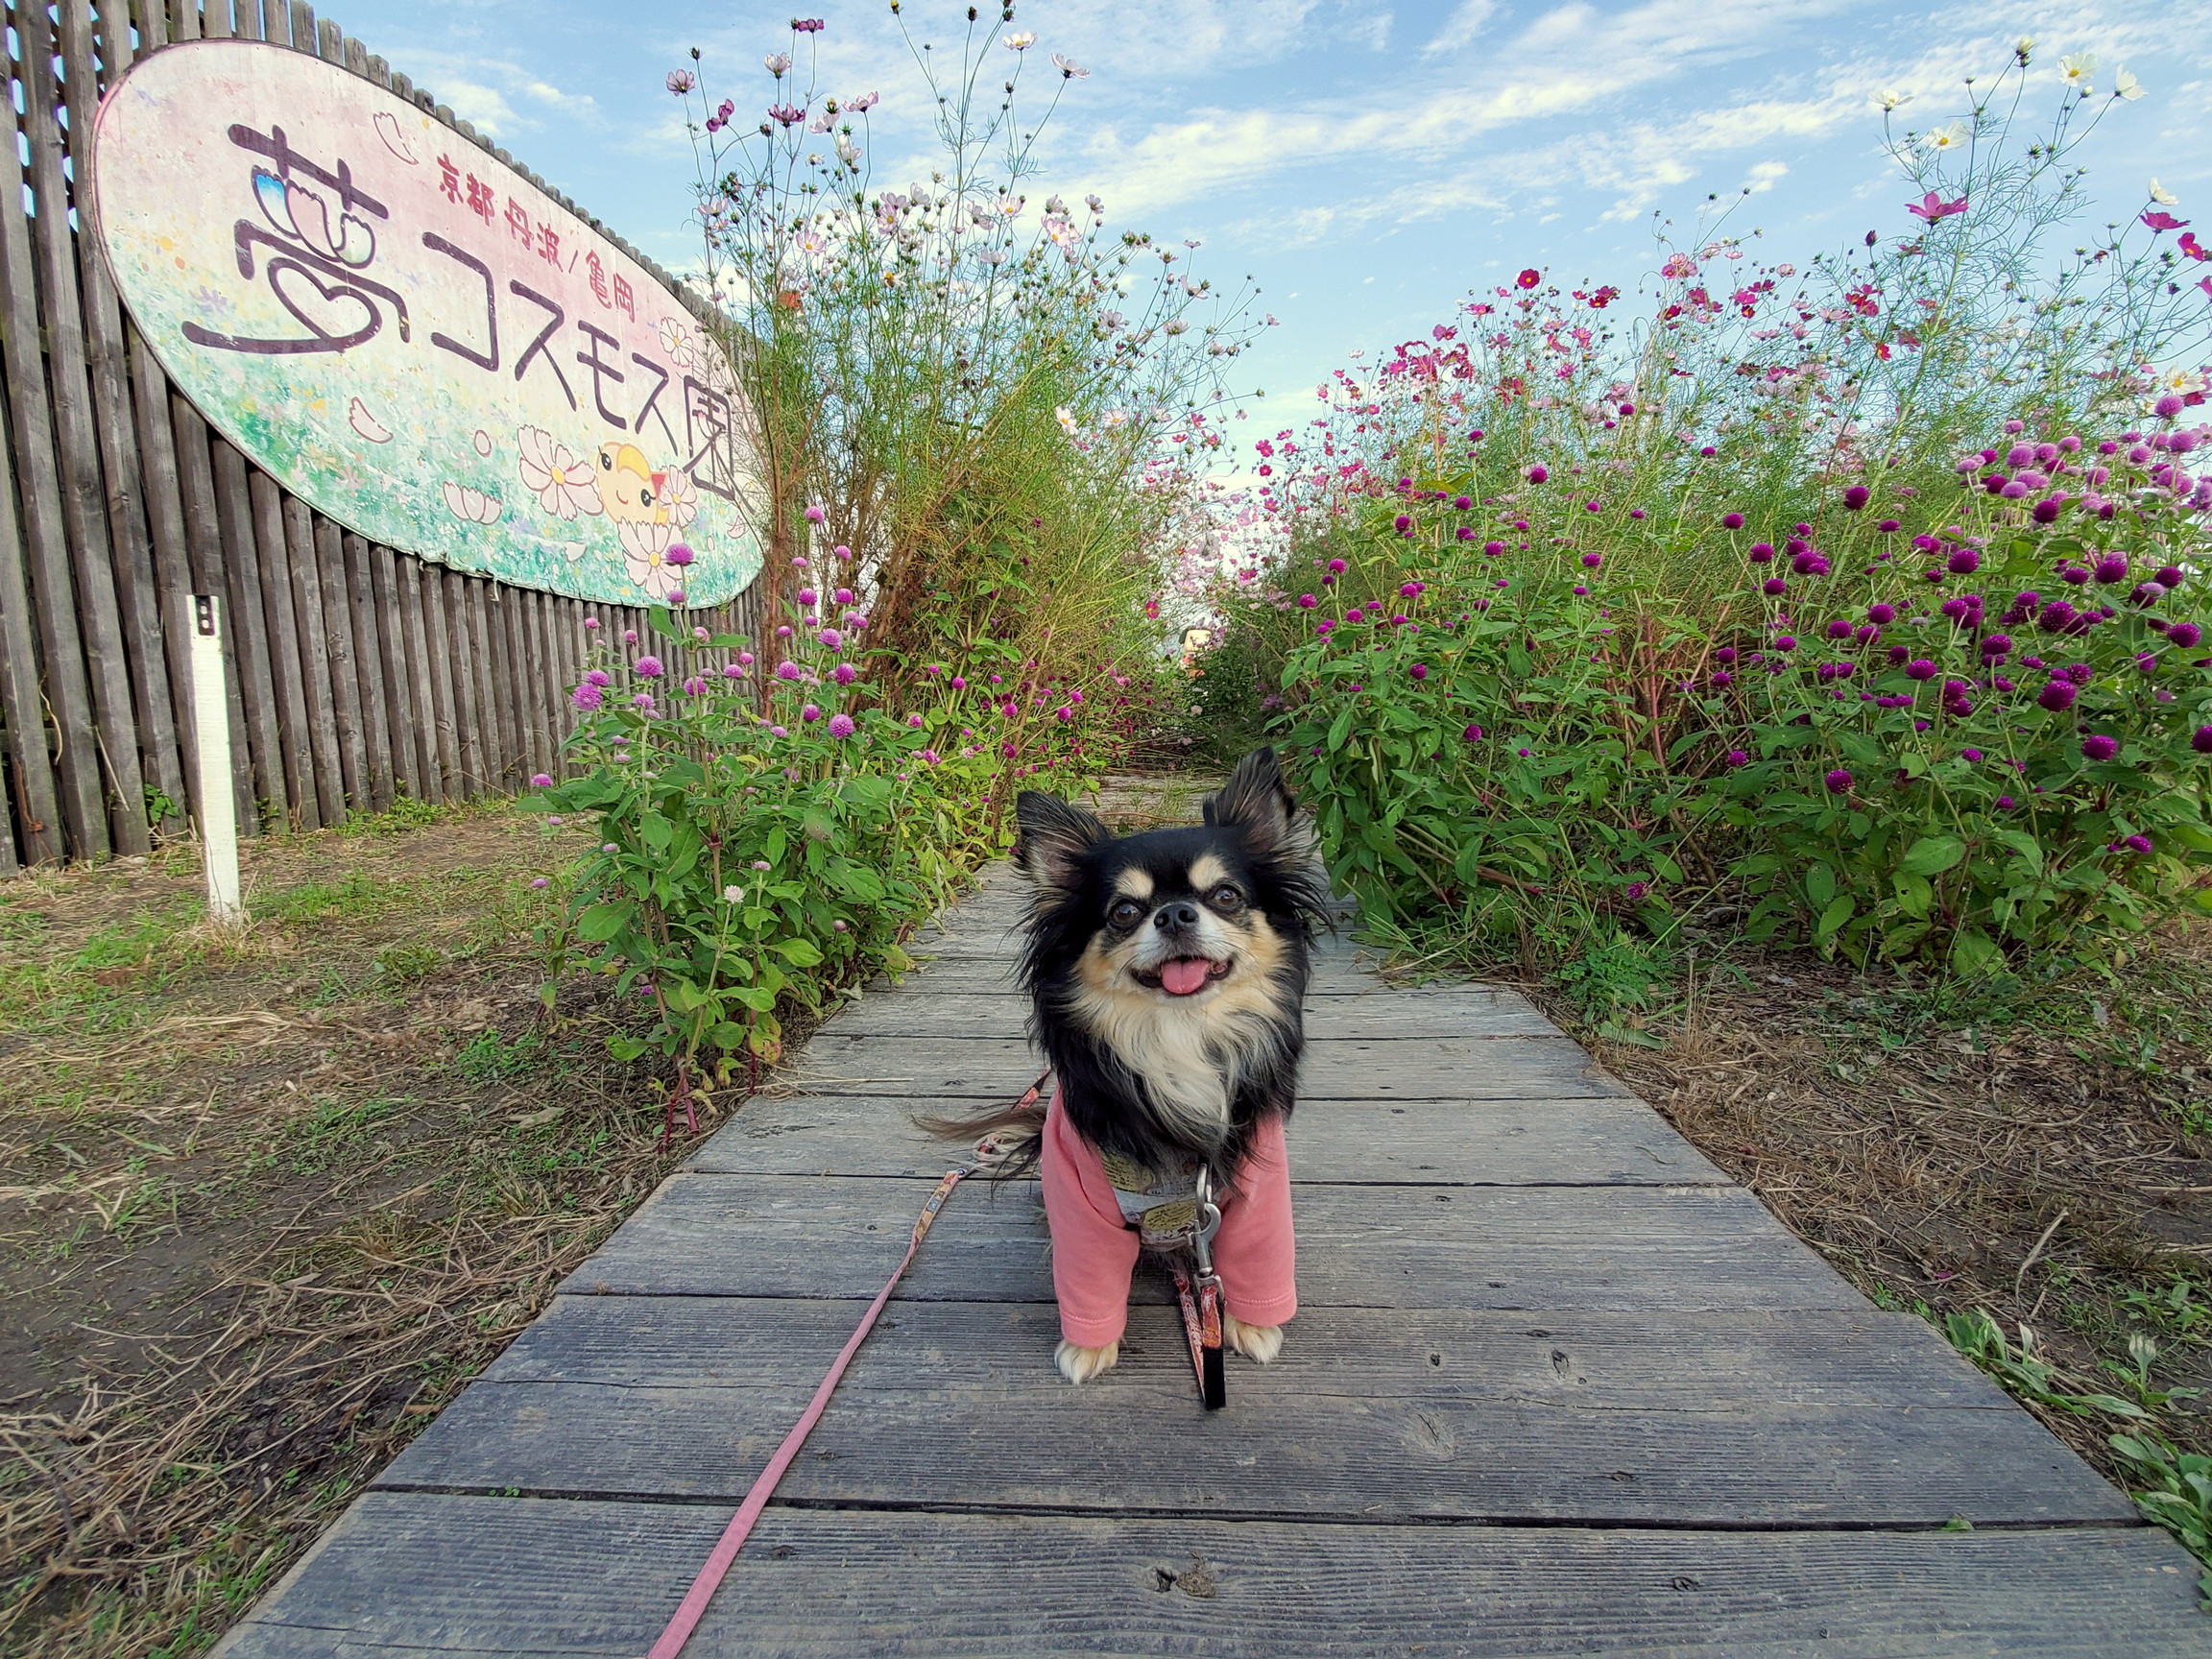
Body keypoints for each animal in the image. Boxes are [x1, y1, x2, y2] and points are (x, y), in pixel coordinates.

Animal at [942, 752, 1318, 1388]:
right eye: (1123, 912)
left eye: (1225, 896)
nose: (1175, 913)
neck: (1178, 1035)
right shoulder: (1078, 1197)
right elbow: (1088, 1278)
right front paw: (1088, 1347)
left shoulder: (1256, 1193)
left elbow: (1259, 1261)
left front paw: (1252, 1325)